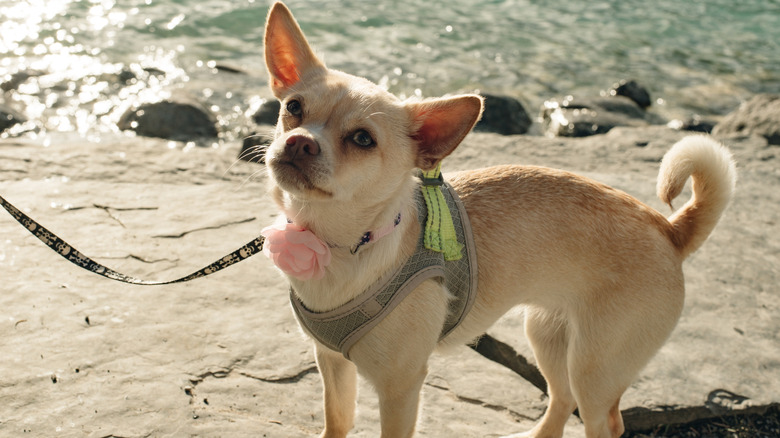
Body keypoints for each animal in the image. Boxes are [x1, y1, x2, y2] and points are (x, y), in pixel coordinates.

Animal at [258, 1, 736, 436]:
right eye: (293, 108)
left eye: (362, 139)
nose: (300, 142)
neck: (336, 243)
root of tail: (670, 229)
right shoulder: (333, 364)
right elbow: (336, 421)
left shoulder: (400, 389)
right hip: (548, 335)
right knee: (560, 401)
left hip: (596, 369)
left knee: (603, 420)